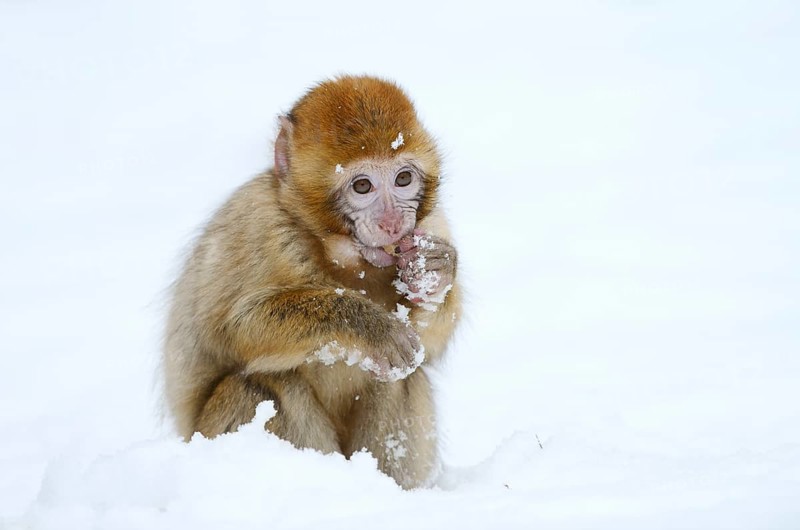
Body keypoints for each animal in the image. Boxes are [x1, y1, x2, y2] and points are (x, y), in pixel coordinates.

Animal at [163, 75, 461, 489]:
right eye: (362, 186)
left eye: (403, 178)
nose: (391, 224)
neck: (341, 255)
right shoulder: (261, 226)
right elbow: (237, 328)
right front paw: (370, 327)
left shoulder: (433, 223)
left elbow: (427, 348)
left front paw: (435, 271)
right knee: (262, 385)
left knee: (401, 374)